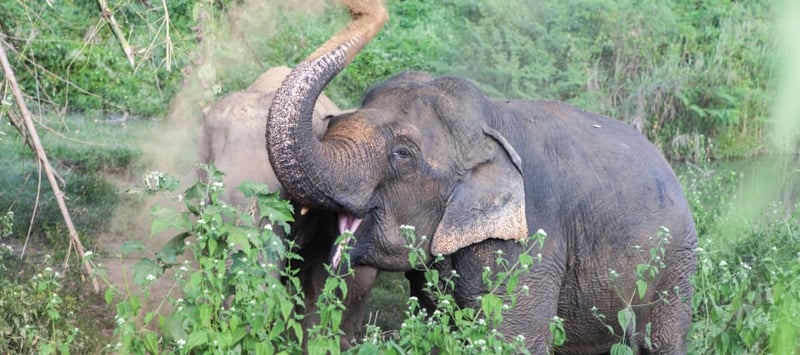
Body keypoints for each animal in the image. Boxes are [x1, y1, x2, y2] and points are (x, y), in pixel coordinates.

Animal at [266, 1, 696, 354]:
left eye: (403, 154)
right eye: (333, 121)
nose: (359, 7)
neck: (490, 122)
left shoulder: (531, 246)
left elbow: (515, 338)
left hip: (677, 264)